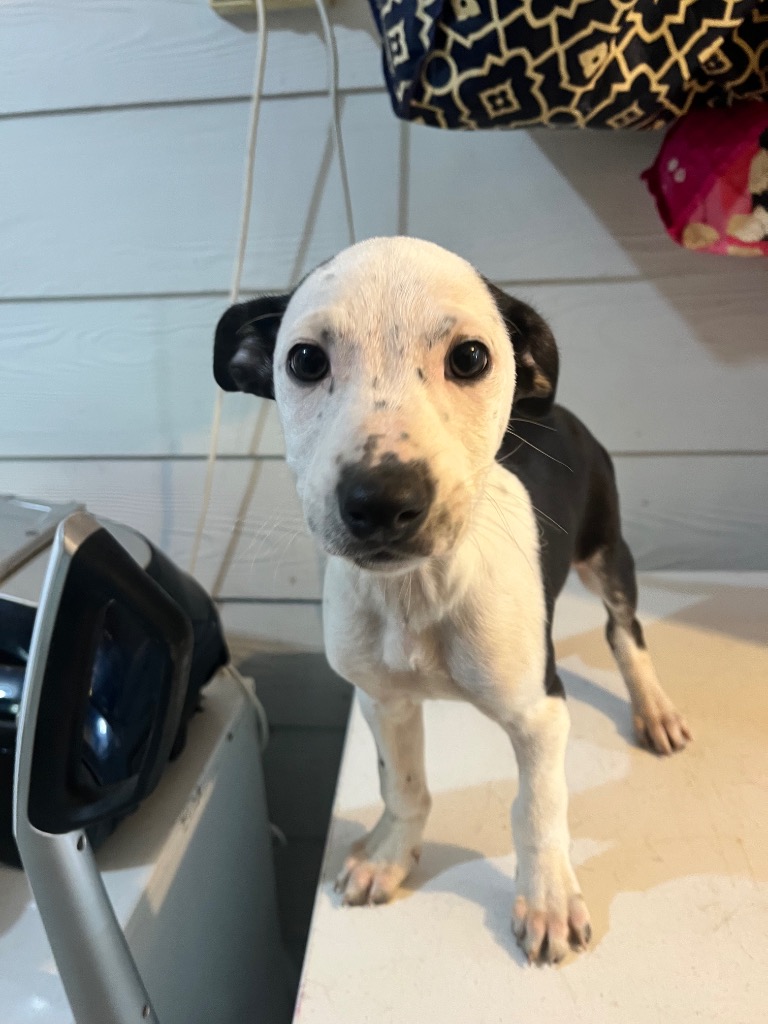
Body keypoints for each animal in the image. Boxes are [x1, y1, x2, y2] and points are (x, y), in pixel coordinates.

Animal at [213, 237, 690, 964]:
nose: (382, 501)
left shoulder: (541, 713)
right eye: (305, 361)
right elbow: (403, 785)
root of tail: (557, 413)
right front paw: (390, 854)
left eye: (469, 357)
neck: (419, 591)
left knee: (624, 631)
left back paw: (654, 707)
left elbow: (537, 809)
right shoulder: (383, 700)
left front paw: (547, 898)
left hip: (607, 552)